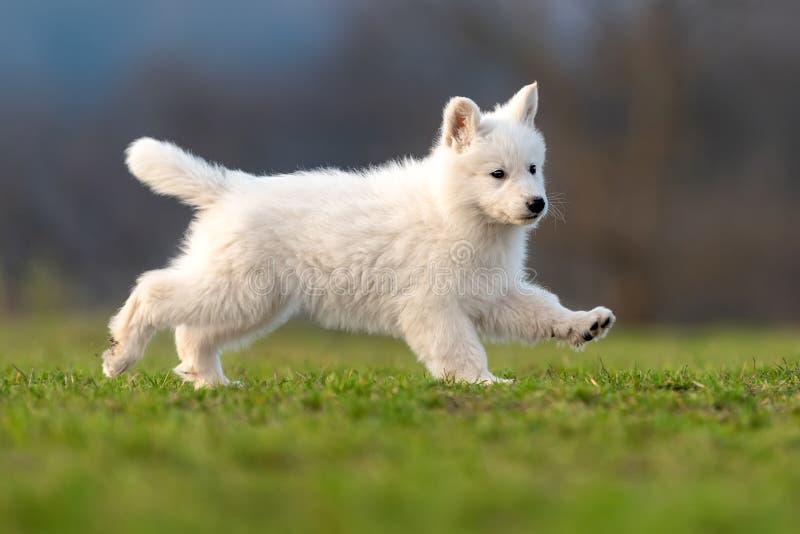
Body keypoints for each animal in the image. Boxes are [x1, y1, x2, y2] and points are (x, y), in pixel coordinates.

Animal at [103, 81, 616, 388]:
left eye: (533, 168)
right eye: (497, 174)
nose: (537, 204)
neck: (455, 212)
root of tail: (230, 187)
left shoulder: (492, 293)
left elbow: (542, 310)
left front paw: (584, 323)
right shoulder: (433, 307)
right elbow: (462, 350)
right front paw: (484, 384)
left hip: (254, 301)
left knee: (194, 332)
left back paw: (211, 382)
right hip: (236, 288)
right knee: (153, 290)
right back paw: (121, 354)